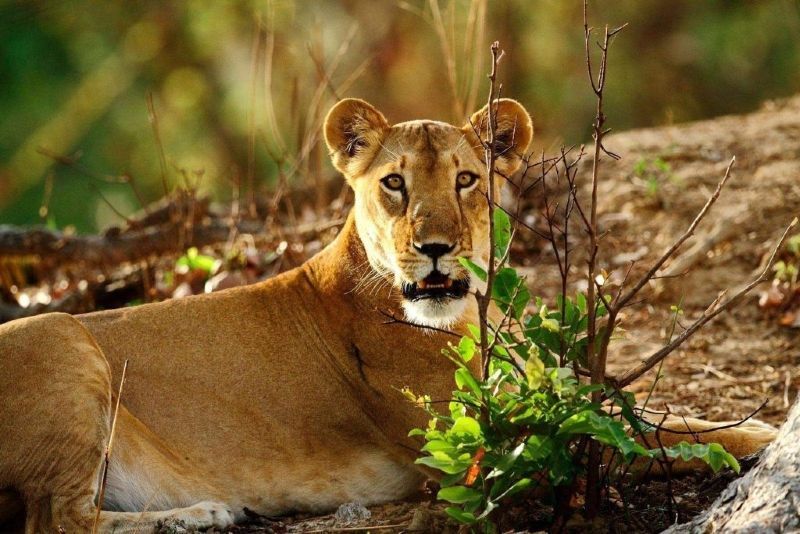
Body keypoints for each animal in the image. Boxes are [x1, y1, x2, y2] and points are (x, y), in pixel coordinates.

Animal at [0, 98, 776, 532]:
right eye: (394, 183)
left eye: (466, 180)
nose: (434, 248)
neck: (459, 319)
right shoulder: (474, 449)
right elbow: (640, 434)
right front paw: (761, 435)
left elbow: (636, 415)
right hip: (60, 333)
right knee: (56, 522)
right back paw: (199, 516)